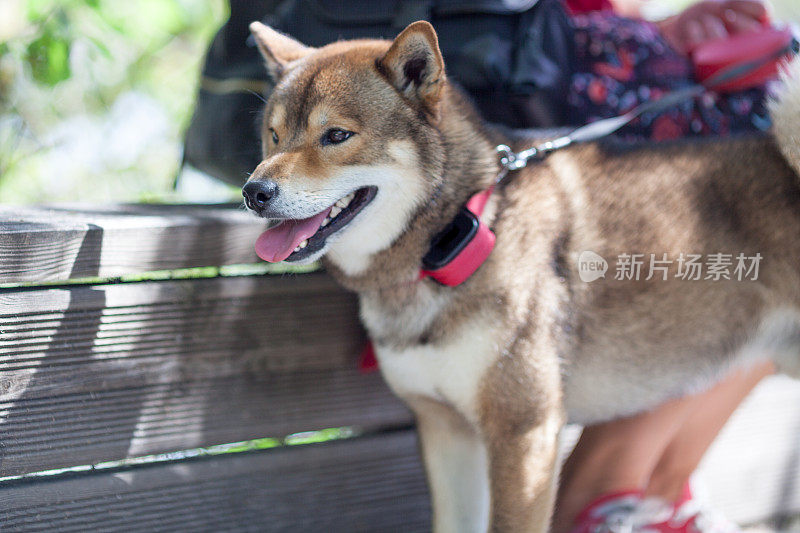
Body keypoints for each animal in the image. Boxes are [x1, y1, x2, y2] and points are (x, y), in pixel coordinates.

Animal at [242, 18, 800, 528]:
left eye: (336, 135)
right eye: (273, 135)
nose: (253, 192)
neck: (461, 233)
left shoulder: (523, 432)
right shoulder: (446, 431)